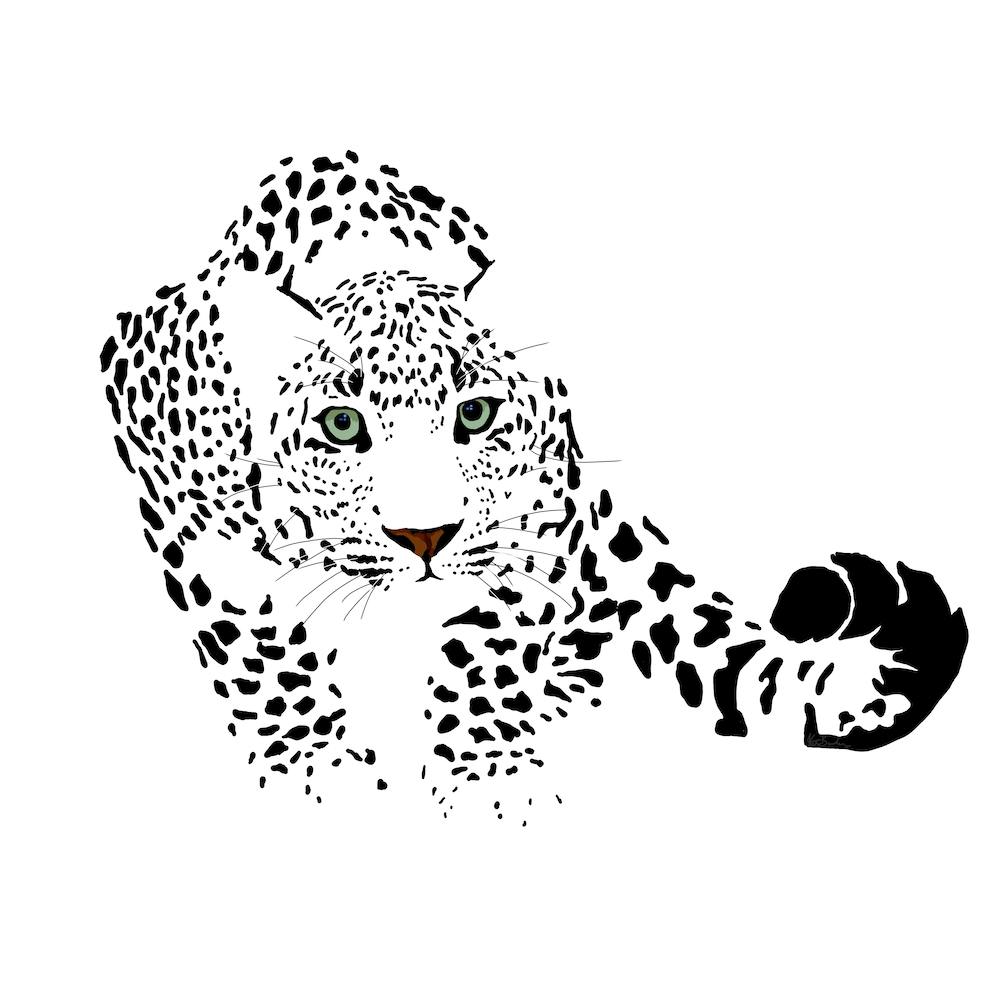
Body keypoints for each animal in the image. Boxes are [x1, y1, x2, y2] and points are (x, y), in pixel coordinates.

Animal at [100, 149, 968, 823]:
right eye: (342, 426)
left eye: (476, 413)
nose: (425, 537)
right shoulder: (182, 517)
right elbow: (259, 653)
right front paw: (317, 766)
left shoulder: (546, 525)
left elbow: (488, 647)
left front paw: (484, 774)